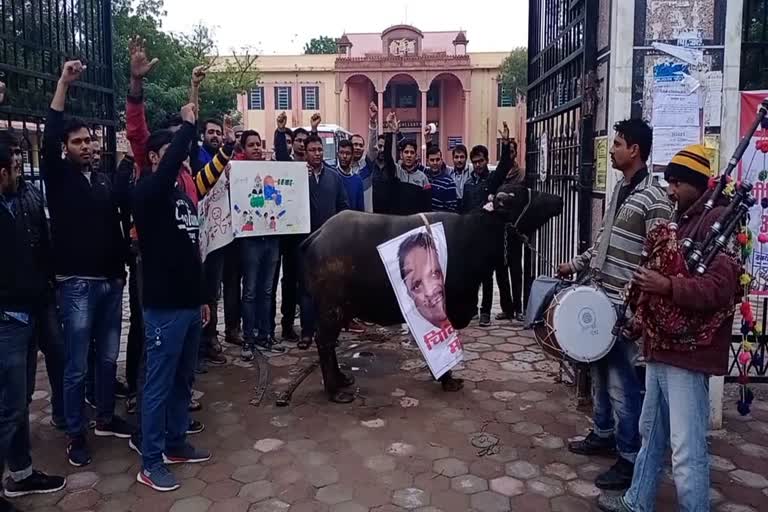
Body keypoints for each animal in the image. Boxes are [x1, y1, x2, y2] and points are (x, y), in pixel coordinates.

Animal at [302, 184, 564, 404]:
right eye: (520, 196)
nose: (559, 199)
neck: (471, 236)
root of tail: (319, 234)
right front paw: (447, 378)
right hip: (331, 309)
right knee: (324, 341)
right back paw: (335, 390)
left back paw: (341, 378)